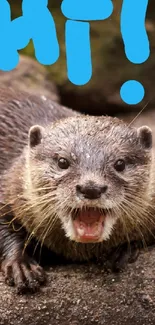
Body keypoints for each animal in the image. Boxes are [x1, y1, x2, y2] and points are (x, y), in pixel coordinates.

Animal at [0, 87, 155, 292]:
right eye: (62, 161)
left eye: (120, 163)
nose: (91, 188)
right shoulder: (8, 188)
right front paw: (21, 265)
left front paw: (124, 249)